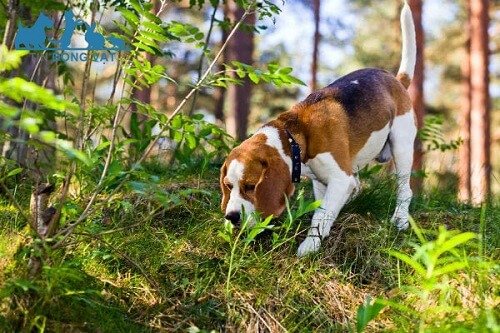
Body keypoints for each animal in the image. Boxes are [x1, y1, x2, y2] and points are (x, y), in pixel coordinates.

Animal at [221, 2, 416, 255]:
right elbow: (323, 209)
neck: (296, 137)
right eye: (228, 186)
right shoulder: (321, 182)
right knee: (359, 186)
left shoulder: (339, 179)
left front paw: (309, 246)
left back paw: (400, 219)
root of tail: (397, 80)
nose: (231, 216)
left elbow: (321, 216)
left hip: (401, 146)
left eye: (251, 186)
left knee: (404, 189)